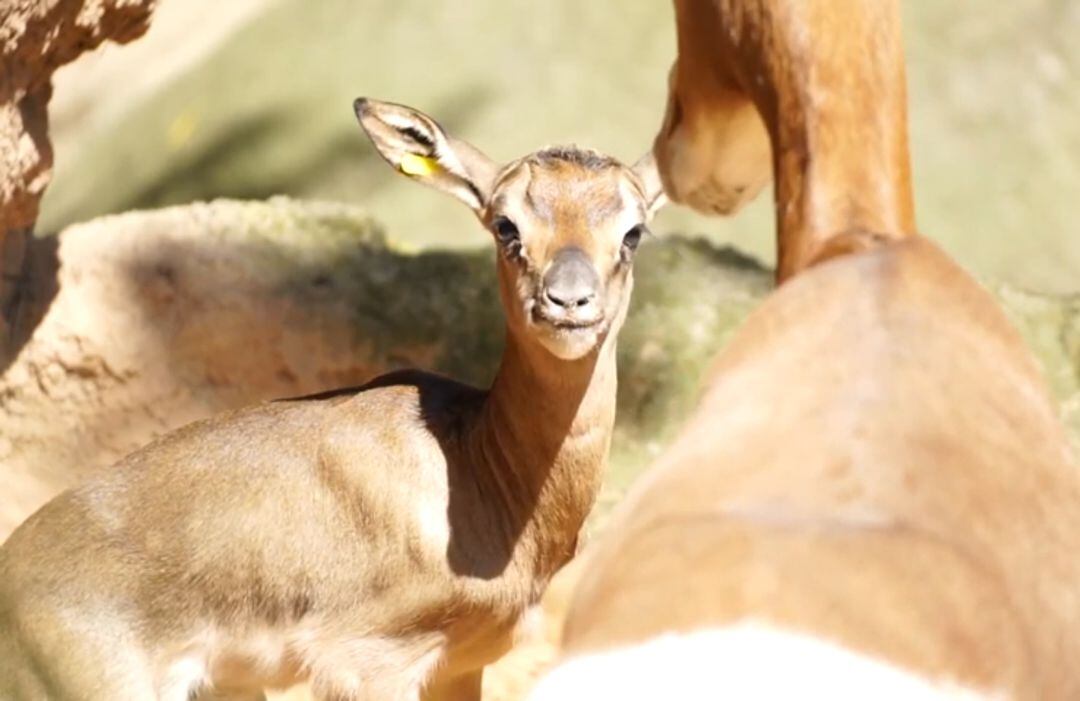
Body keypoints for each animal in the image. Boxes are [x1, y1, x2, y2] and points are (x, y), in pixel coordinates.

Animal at [0, 98, 660, 699]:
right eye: (505, 224)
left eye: (633, 230)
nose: (568, 301)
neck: (478, 476)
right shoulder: (365, 666)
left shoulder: (461, 661)